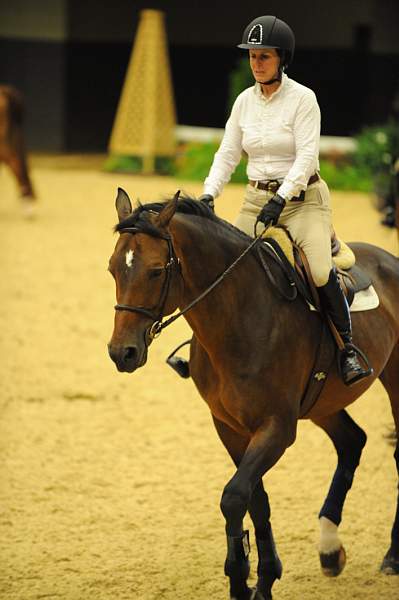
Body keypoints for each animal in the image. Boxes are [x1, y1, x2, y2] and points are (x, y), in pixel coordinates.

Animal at [108, 189, 399, 600]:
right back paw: (330, 550)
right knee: (351, 441)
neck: (240, 318)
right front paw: (258, 579)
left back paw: (391, 556)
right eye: (112, 269)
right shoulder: (229, 426)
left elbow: (233, 496)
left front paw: (243, 577)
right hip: (323, 403)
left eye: (155, 270)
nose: (123, 353)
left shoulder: (277, 427)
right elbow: (254, 499)